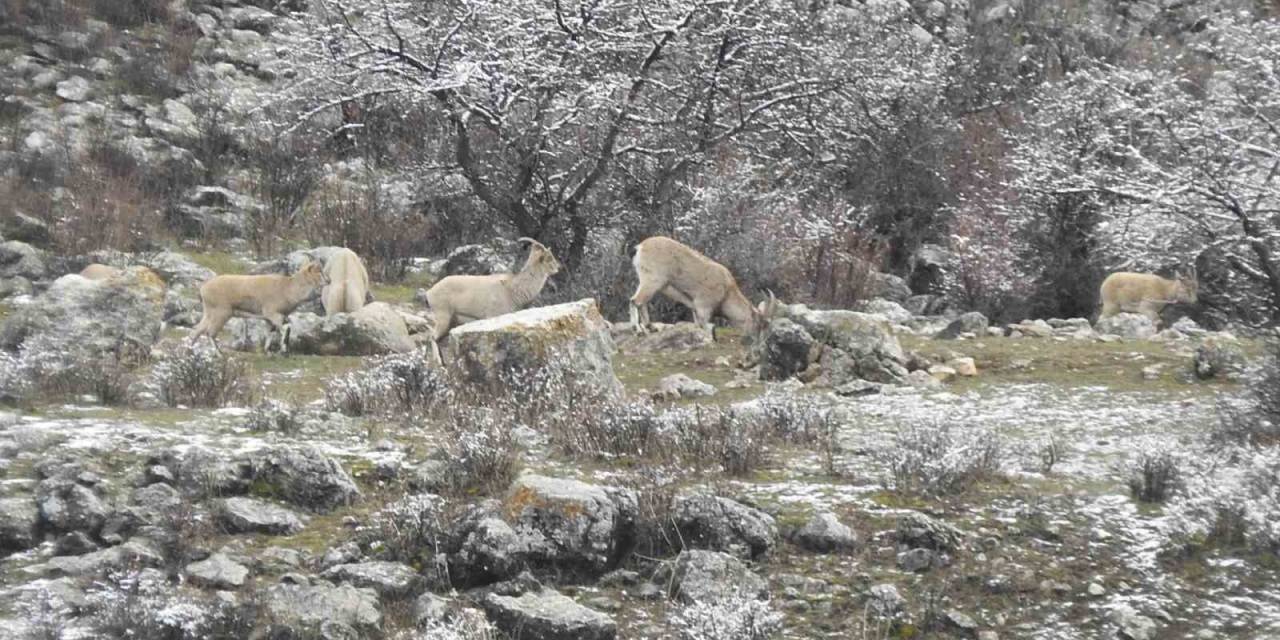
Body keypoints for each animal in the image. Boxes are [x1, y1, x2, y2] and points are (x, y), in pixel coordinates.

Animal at [192, 258, 330, 353]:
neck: (287, 289)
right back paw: (218, 353)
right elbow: (286, 328)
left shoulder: (270, 318)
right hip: (221, 313)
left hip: (209, 312)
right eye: (318, 271)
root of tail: (204, 288)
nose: (328, 281)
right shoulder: (273, 314)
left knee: (197, 330)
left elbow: (270, 333)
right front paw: (284, 350)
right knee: (210, 333)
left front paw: (267, 350)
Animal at [424, 236, 560, 366]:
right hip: (443, 316)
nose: (558, 267)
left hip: (452, 321)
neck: (511, 289)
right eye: (549, 258)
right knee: (432, 336)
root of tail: (429, 293)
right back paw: (438, 362)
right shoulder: (492, 315)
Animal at [629, 235, 778, 340]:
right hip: (652, 281)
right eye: (759, 324)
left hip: (647, 282)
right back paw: (639, 331)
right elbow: (704, 327)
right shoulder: (703, 307)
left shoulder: (695, 308)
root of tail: (640, 247)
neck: (727, 291)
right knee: (635, 301)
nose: (757, 341)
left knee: (640, 302)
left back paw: (651, 327)